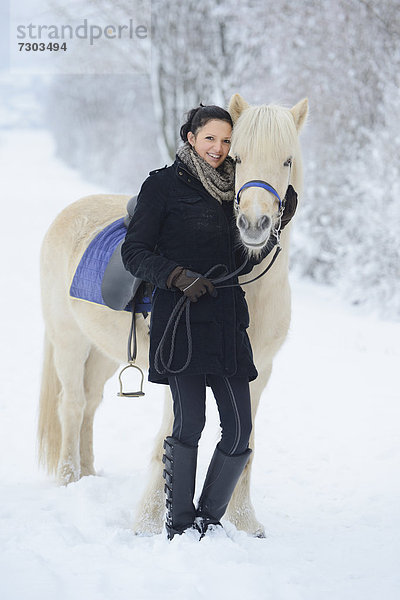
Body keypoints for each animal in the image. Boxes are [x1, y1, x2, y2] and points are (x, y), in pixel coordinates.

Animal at [39, 92, 308, 536]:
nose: (254, 224)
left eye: (287, 160)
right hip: (69, 341)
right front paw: (149, 524)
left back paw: (88, 475)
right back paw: (67, 480)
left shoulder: (257, 374)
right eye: (236, 157)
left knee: (90, 404)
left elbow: (246, 445)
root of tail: (69, 212)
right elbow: (170, 438)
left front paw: (244, 523)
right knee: (72, 405)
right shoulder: (175, 368)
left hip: (103, 352)